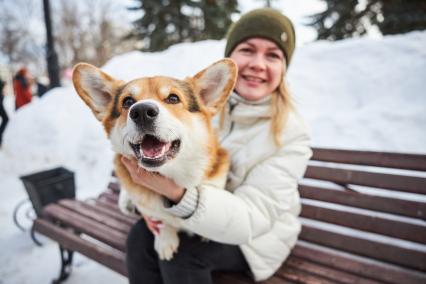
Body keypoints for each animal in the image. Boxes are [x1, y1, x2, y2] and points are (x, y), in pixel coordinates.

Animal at [72, 58, 238, 260]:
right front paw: (165, 240)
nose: (142, 111)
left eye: (173, 98)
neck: (172, 173)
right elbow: (160, 219)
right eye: (127, 102)